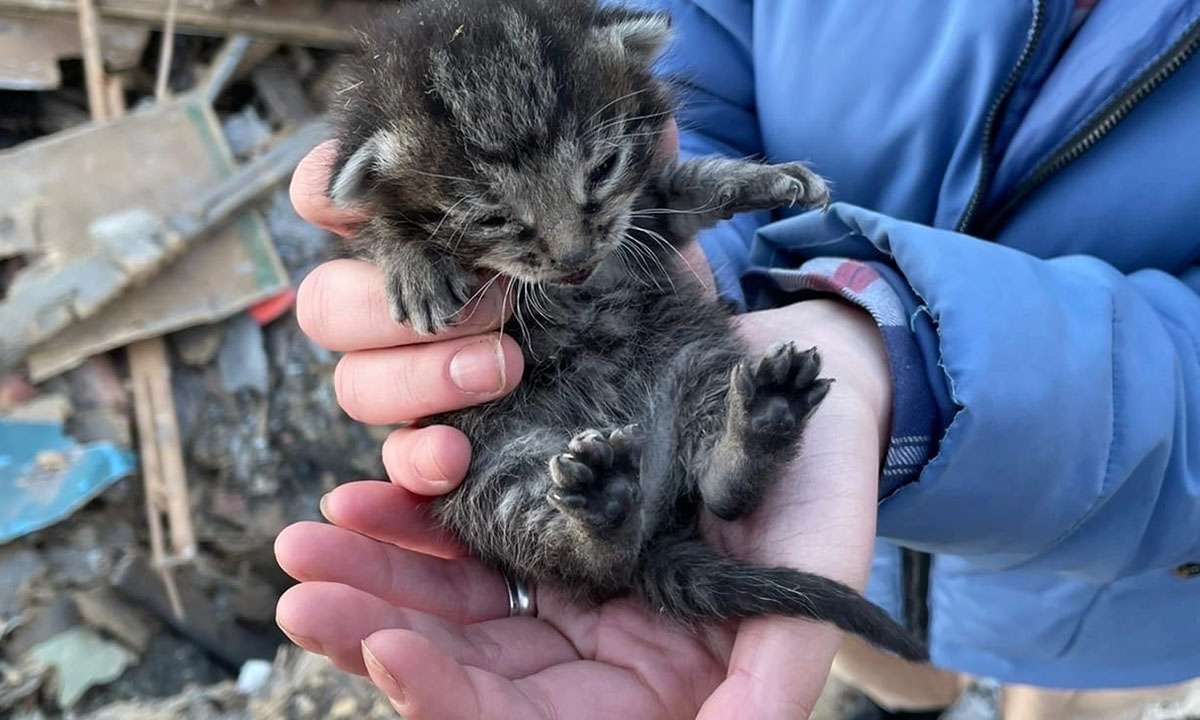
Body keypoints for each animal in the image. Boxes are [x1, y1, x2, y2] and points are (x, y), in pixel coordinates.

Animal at [324, 0, 921, 662]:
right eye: (493, 218)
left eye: (603, 169)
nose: (574, 259)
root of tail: (655, 520)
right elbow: (377, 233)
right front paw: (408, 260)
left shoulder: (647, 216)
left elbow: (682, 189)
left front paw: (763, 179)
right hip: (493, 472)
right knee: (590, 560)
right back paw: (607, 508)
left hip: (693, 357)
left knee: (718, 488)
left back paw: (755, 427)